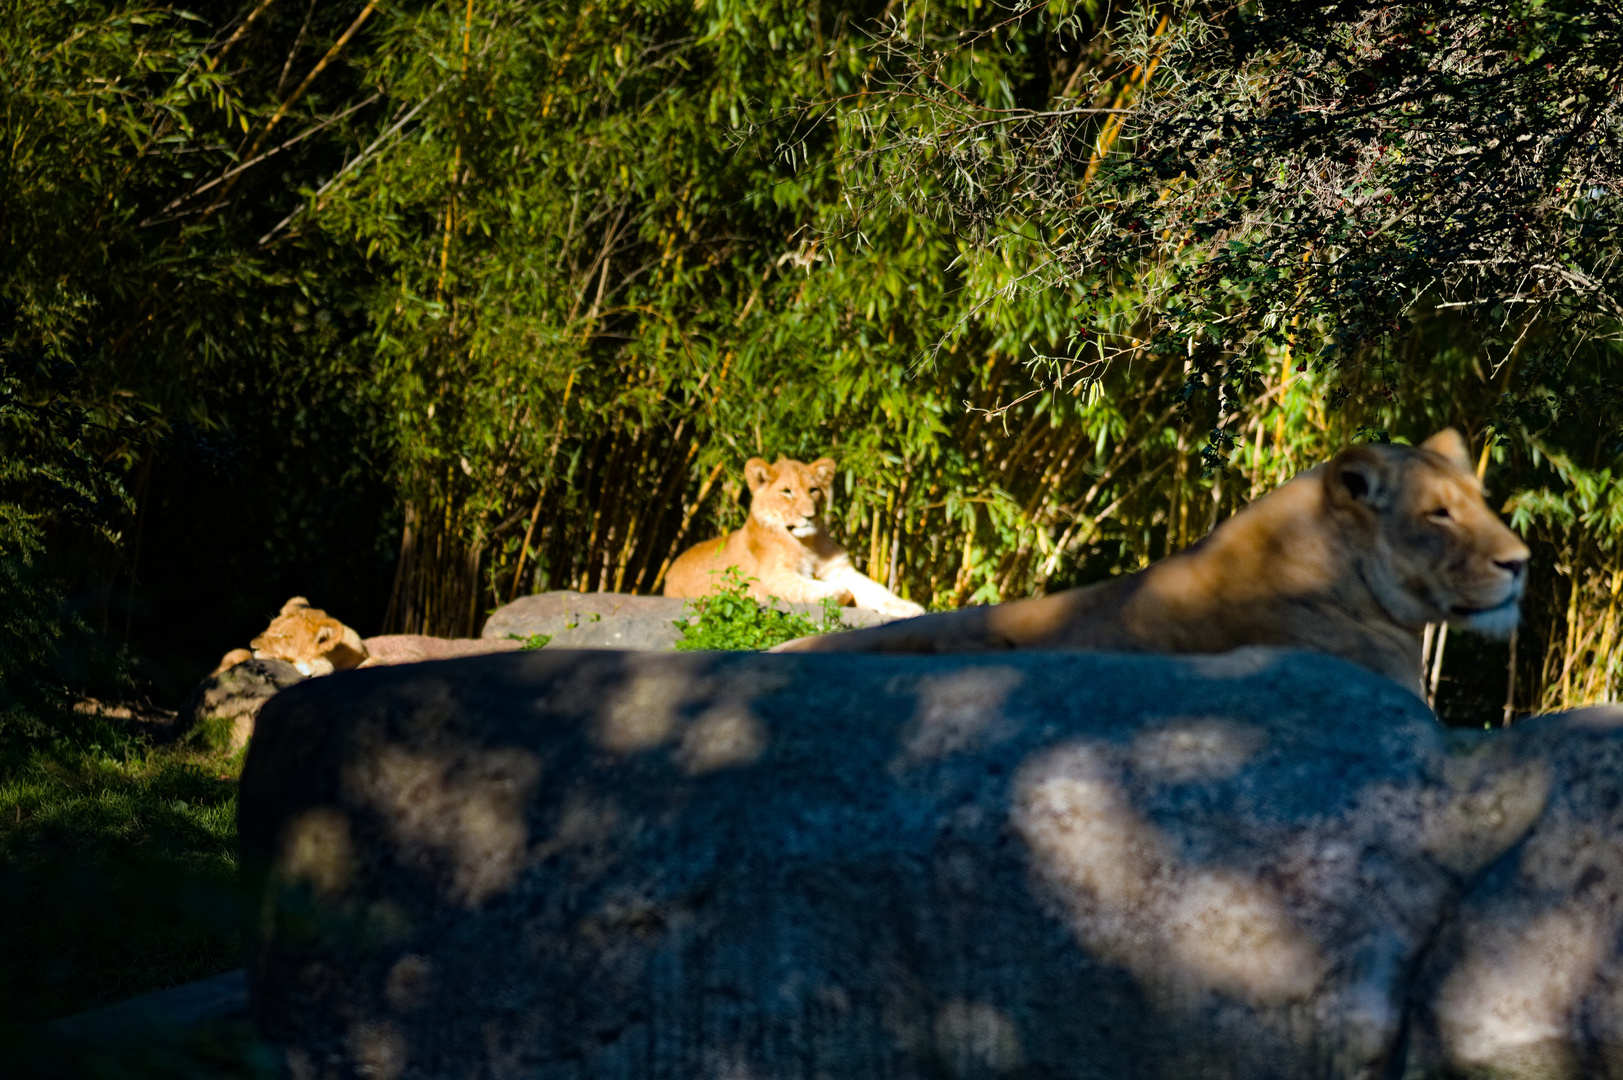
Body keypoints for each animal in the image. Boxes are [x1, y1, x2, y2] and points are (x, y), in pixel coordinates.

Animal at [665, 457, 928, 620]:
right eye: (787, 492)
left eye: (813, 490)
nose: (809, 516)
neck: (808, 543)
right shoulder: (771, 580)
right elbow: (823, 589)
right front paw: (847, 597)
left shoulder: (839, 568)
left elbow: (876, 589)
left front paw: (909, 607)